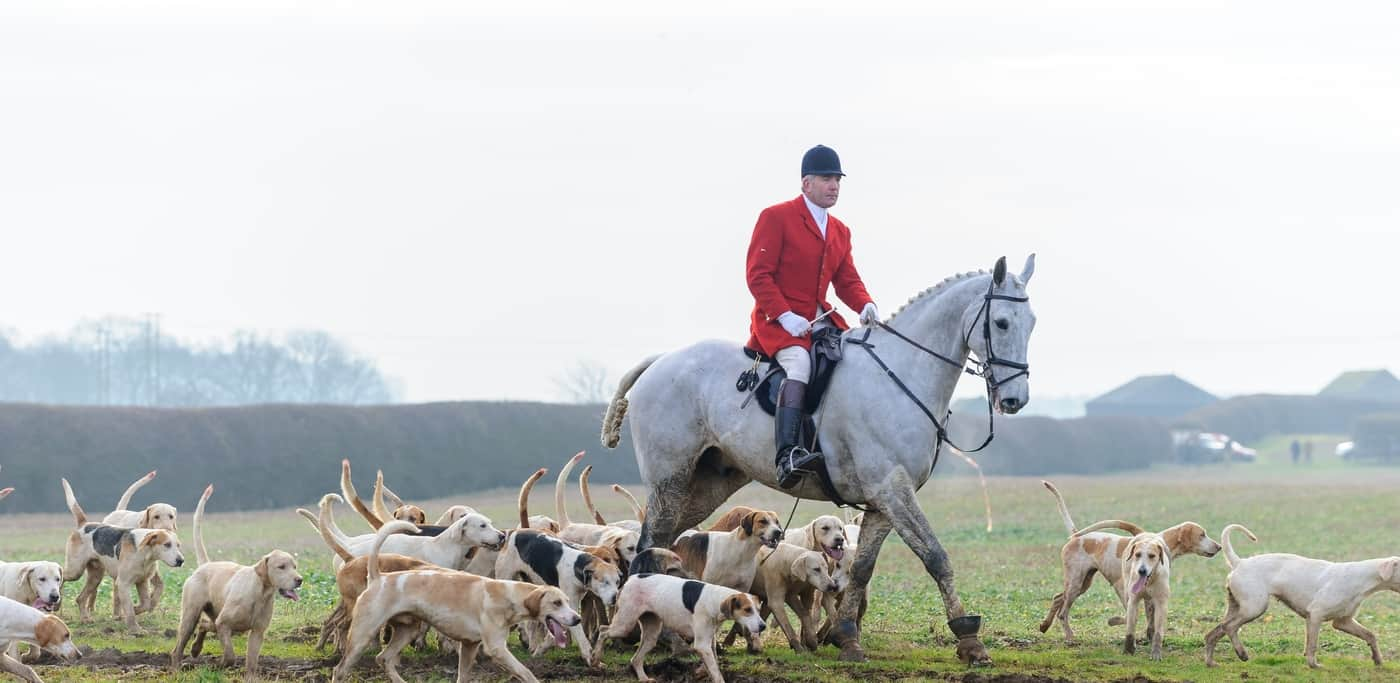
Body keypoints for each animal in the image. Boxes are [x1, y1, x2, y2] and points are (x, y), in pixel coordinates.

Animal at [596, 253, 1036, 663]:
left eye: (1031, 322)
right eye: (1001, 323)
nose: (1015, 400)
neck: (900, 377)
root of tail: (661, 360)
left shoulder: (881, 501)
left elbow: (861, 568)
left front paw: (845, 636)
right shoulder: (893, 490)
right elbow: (935, 556)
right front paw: (969, 638)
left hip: (708, 484)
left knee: (663, 542)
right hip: (670, 479)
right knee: (650, 543)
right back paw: (663, 637)